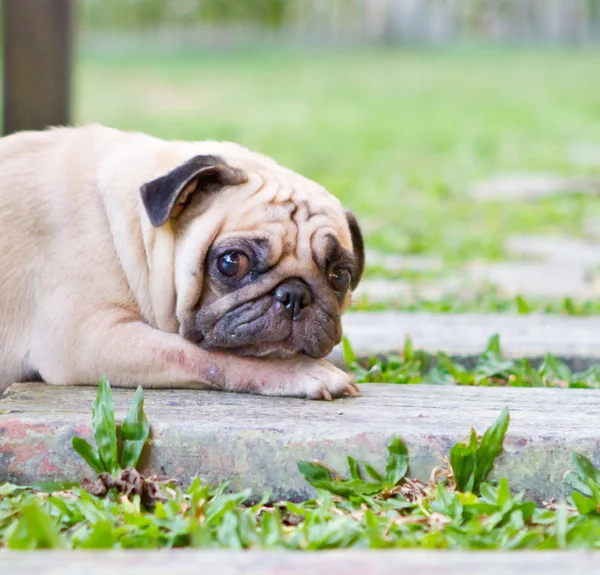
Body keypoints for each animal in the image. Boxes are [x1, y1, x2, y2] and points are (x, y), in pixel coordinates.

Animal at [0, 124, 364, 398]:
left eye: (340, 276)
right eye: (232, 263)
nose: (295, 295)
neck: (138, 231)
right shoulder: (89, 337)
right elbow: (204, 355)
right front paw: (302, 370)